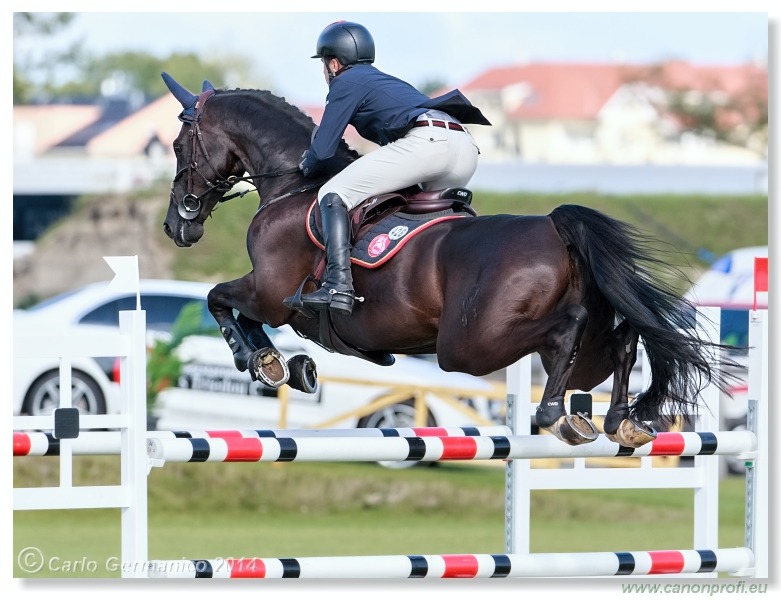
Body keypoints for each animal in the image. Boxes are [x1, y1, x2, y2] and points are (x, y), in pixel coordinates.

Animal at [157, 74, 732, 450]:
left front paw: (263, 360)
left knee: (567, 329)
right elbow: (231, 308)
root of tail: (556, 228)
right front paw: (285, 364)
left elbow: (219, 300)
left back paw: (553, 414)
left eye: (179, 143)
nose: (177, 225)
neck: (294, 185)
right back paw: (618, 422)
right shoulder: (270, 298)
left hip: (469, 345)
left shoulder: (272, 292)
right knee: (620, 341)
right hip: (560, 350)